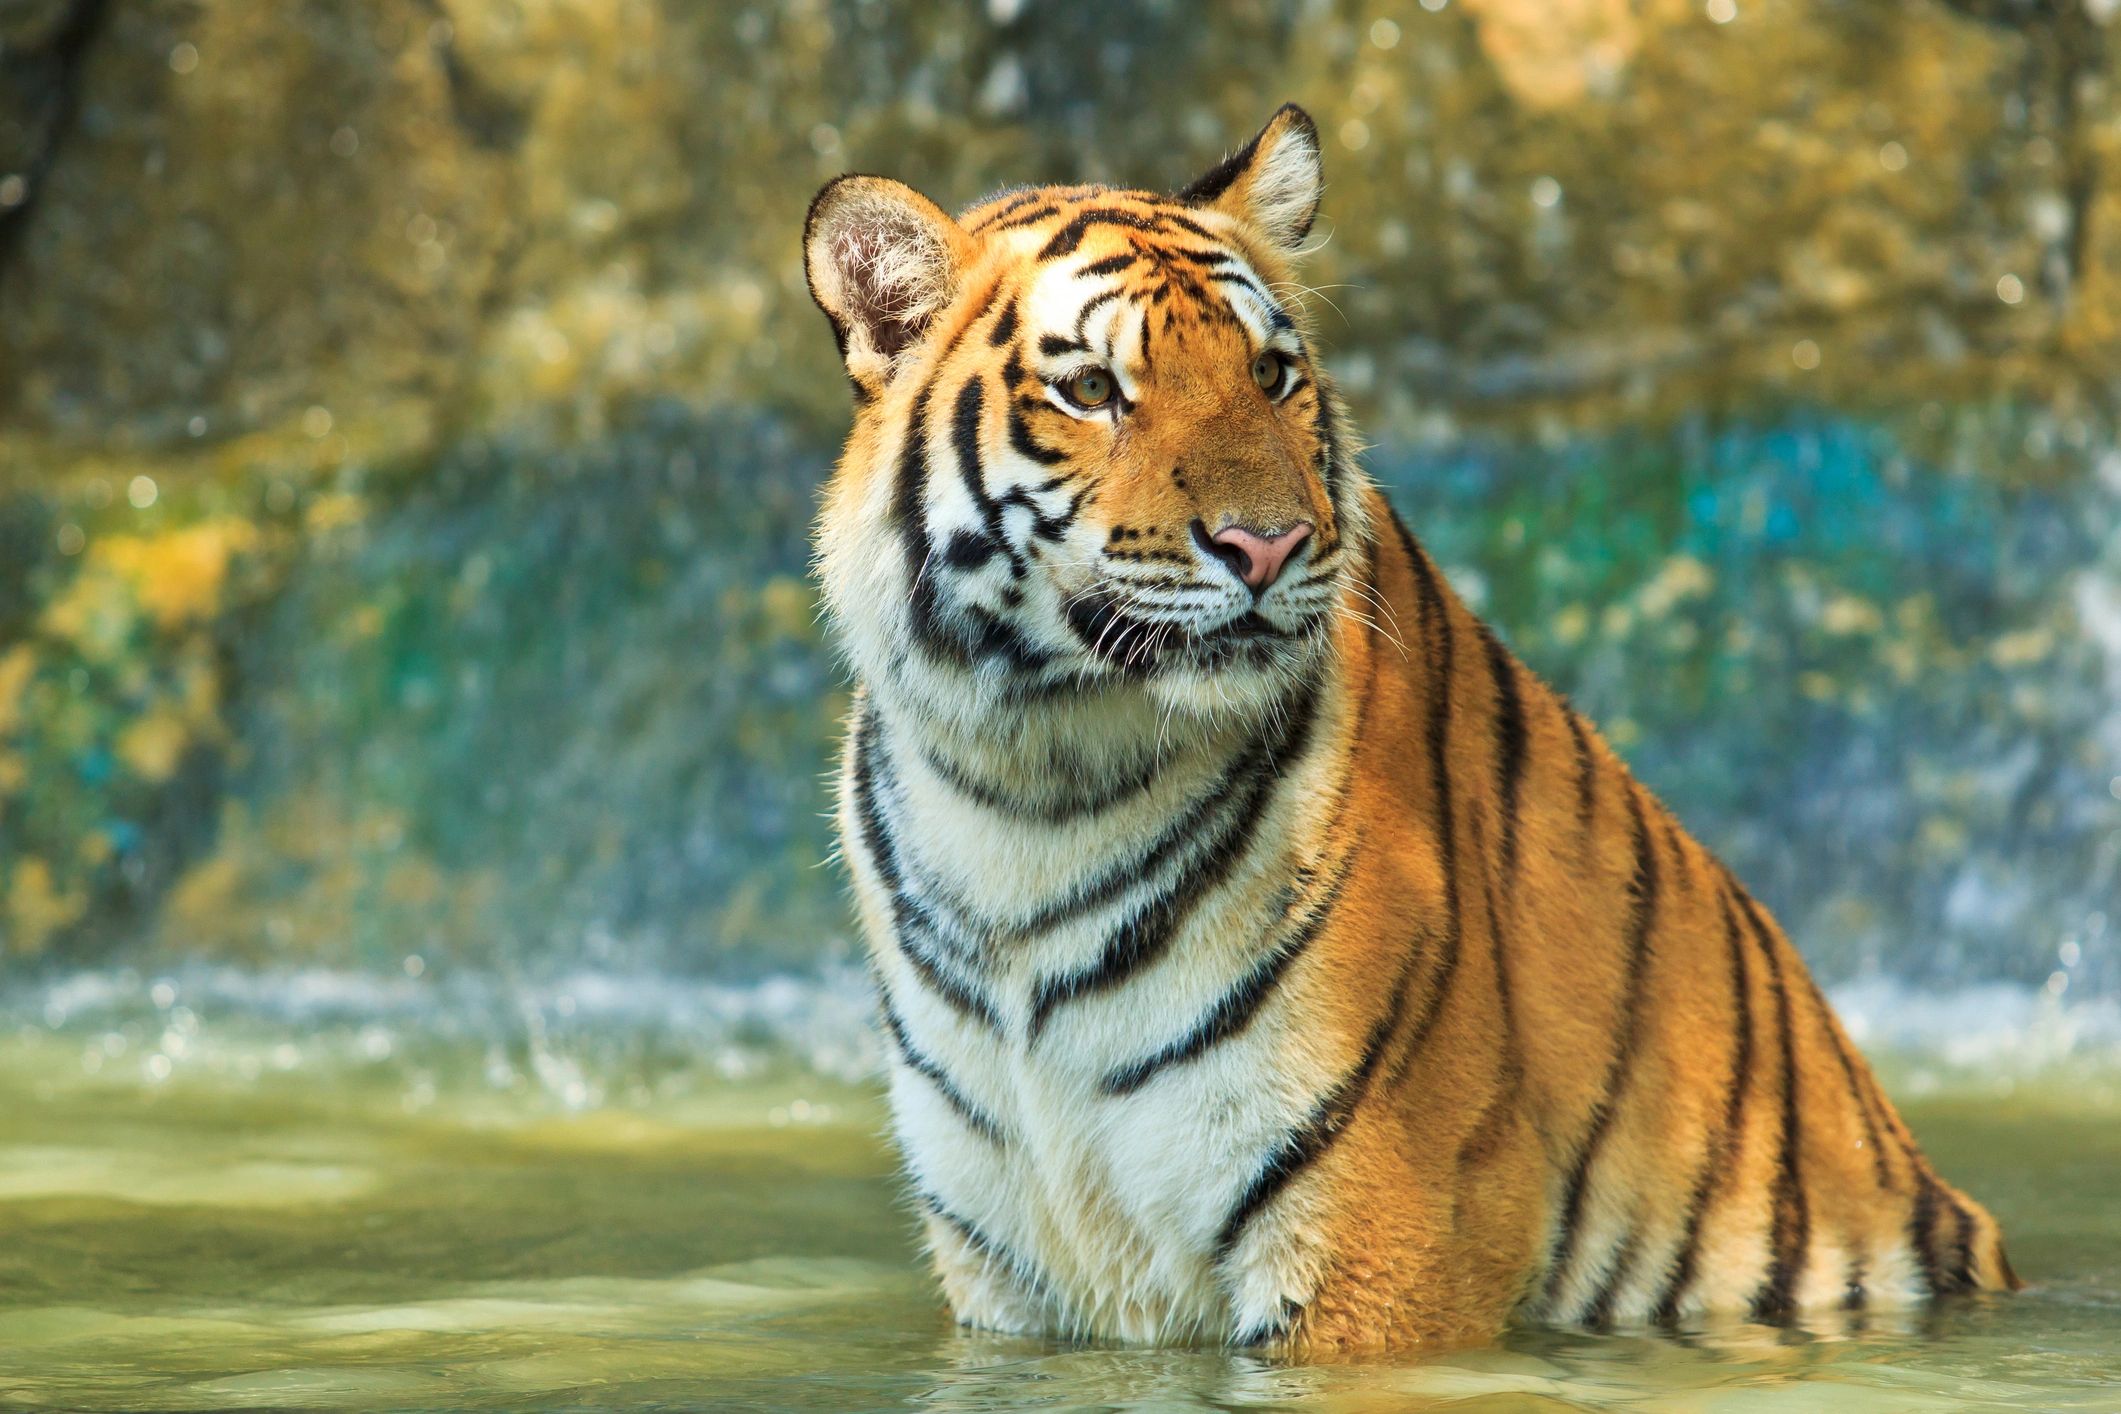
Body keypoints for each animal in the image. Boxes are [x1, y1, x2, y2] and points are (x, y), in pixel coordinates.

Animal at [801, 103, 2018, 1352]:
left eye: (1272, 373)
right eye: (1093, 388)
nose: (1269, 544)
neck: (1031, 784)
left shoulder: (1384, 1225)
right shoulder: (1007, 1259)